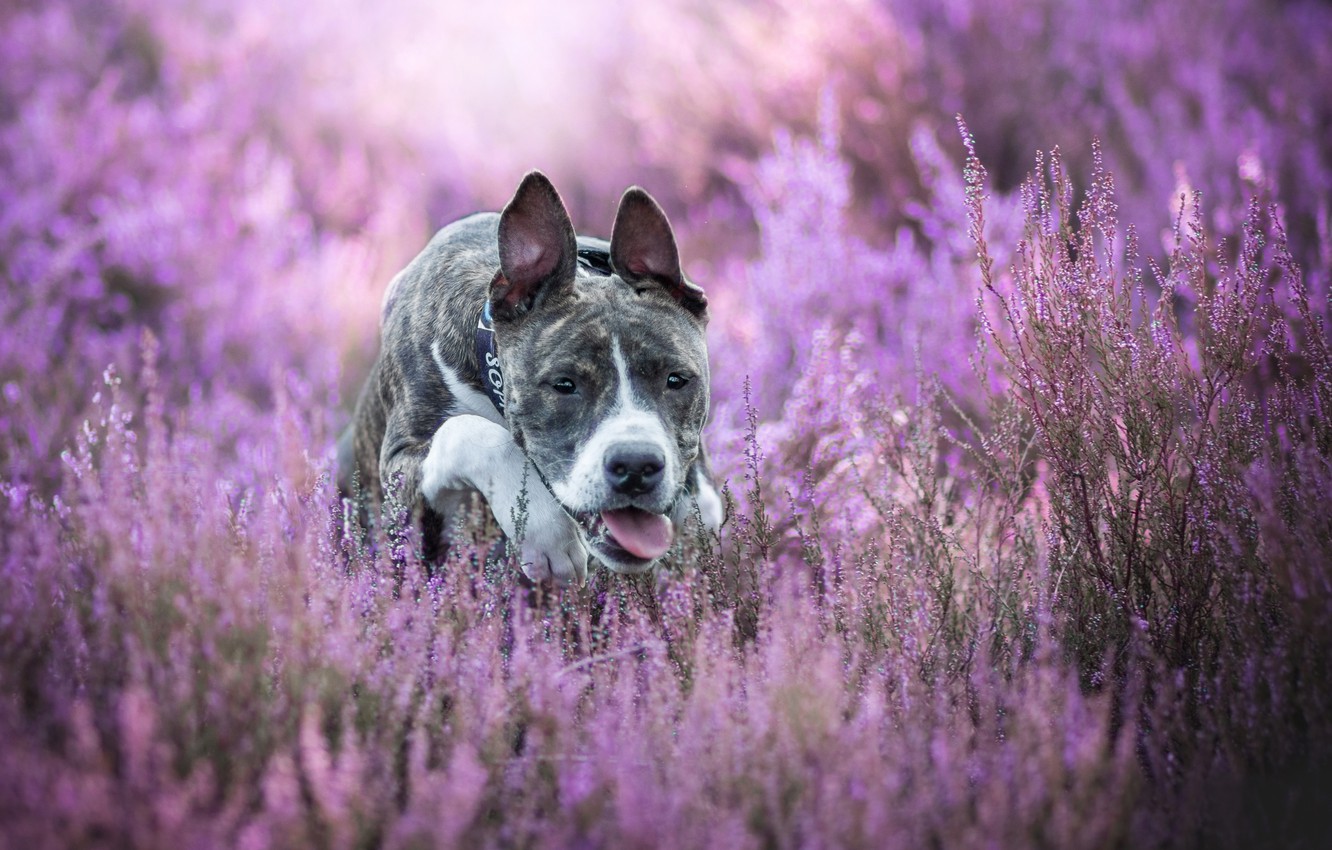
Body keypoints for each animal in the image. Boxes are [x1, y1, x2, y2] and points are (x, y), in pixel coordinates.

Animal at [338, 171, 724, 586]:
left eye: (676, 380)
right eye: (564, 384)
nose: (636, 465)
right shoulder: (400, 466)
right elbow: (469, 432)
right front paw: (546, 535)